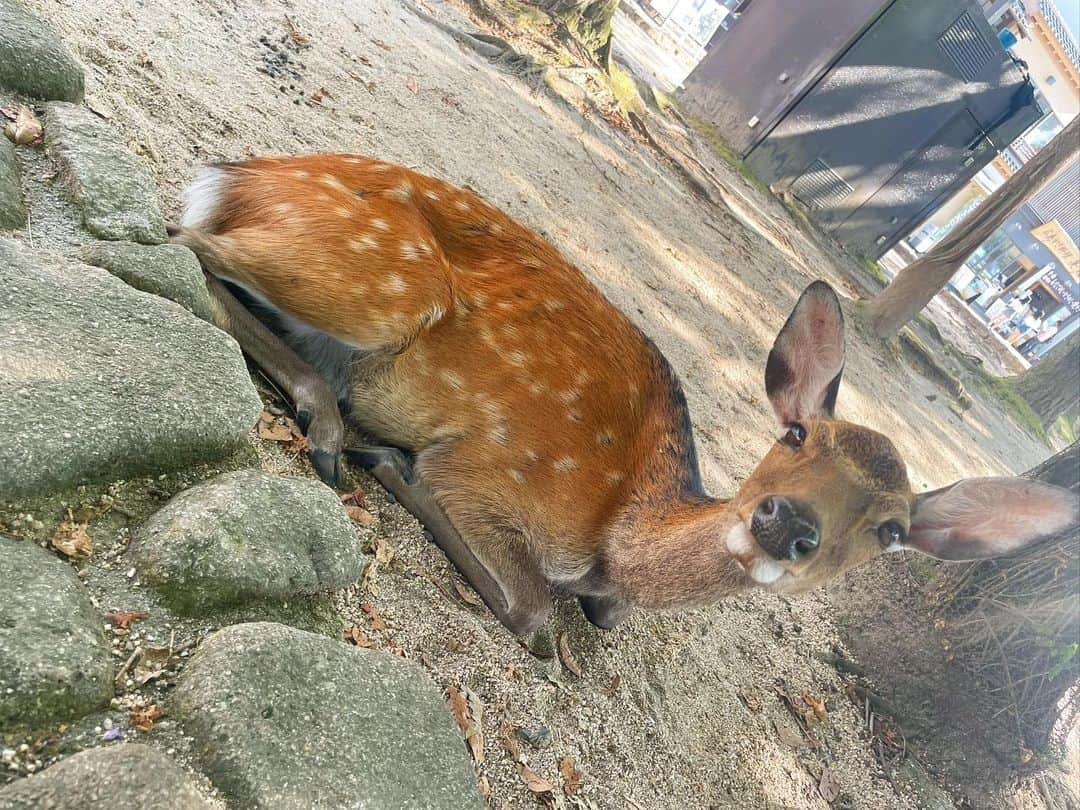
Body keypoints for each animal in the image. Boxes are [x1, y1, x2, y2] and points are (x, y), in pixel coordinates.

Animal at [170, 155, 1080, 639]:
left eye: (892, 532)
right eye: (797, 437)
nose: (786, 522)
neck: (620, 532)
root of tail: (230, 176)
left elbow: (590, 617)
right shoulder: (486, 468)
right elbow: (537, 614)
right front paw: (389, 458)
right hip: (389, 284)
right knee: (185, 242)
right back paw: (331, 423)